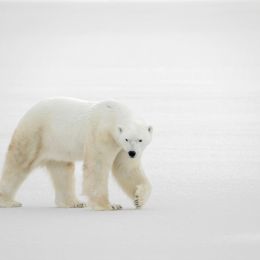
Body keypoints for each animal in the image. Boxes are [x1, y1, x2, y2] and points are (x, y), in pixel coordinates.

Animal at [0, 97, 152, 209]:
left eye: (140, 139)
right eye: (127, 139)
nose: (132, 153)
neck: (114, 114)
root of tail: (29, 111)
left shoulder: (120, 148)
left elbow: (126, 169)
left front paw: (139, 198)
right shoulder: (102, 134)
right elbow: (97, 166)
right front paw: (109, 205)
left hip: (57, 145)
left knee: (63, 170)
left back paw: (74, 202)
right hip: (35, 133)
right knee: (19, 163)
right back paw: (9, 201)